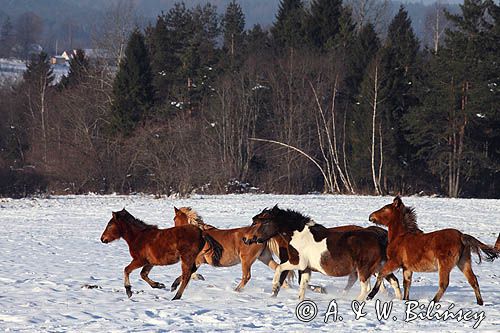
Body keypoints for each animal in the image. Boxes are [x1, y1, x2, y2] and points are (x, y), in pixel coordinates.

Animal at [240, 204, 400, 300]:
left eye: (256, 223)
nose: (245, 239)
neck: (297, 235)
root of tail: (379, 236)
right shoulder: (306, 268)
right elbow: (303, 286)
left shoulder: (297, 263)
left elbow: (279, 268)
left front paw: (274, 286)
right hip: (379, 267)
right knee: (393, 281)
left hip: (365, 269)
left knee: (366, 288)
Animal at [366, 196, 498, 304]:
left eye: (384, 209)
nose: (370, 216)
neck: (401, 236)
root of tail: (461, 236)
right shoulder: (407, 267)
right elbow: (407, 283)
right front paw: (405, 300)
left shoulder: (394, 261)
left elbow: (381, 273)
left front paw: (370, 295)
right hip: (463, 262)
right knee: (473, 280)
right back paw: (480, 303)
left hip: (444, 265)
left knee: (444, 284)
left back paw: (433, 301)